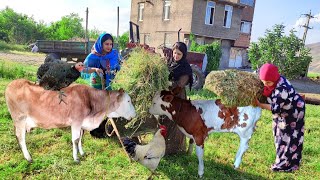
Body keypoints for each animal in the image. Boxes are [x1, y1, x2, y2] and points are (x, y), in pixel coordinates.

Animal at [5, 79, 136, 162]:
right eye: (128, 101)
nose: (135, 114)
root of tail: (12, 83)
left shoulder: (82, 123)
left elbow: (81, 138)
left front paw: (82, 153)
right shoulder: (76, 122)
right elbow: (76, 139)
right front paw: (76, 158)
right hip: (20, 118)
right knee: (21, 137)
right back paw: (28, 158)